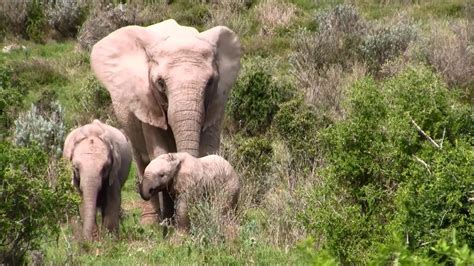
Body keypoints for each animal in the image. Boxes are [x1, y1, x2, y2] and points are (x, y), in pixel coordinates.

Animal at [90, 19, 241, 225]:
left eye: (210, 82)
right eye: (161, 83)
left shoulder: (216, 101)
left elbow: (207, 150)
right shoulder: (147, 100)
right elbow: (158, 151)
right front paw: (169, 223)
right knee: (141, 160)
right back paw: (151, 222)